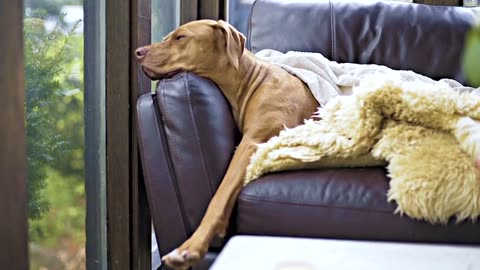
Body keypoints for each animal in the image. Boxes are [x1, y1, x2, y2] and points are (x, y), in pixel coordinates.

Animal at [136, 19, 318, 270]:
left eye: (180, 37)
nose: (138, 52)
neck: (251, 79)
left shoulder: (252, 143)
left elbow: (219, 196)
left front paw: (191, 247)